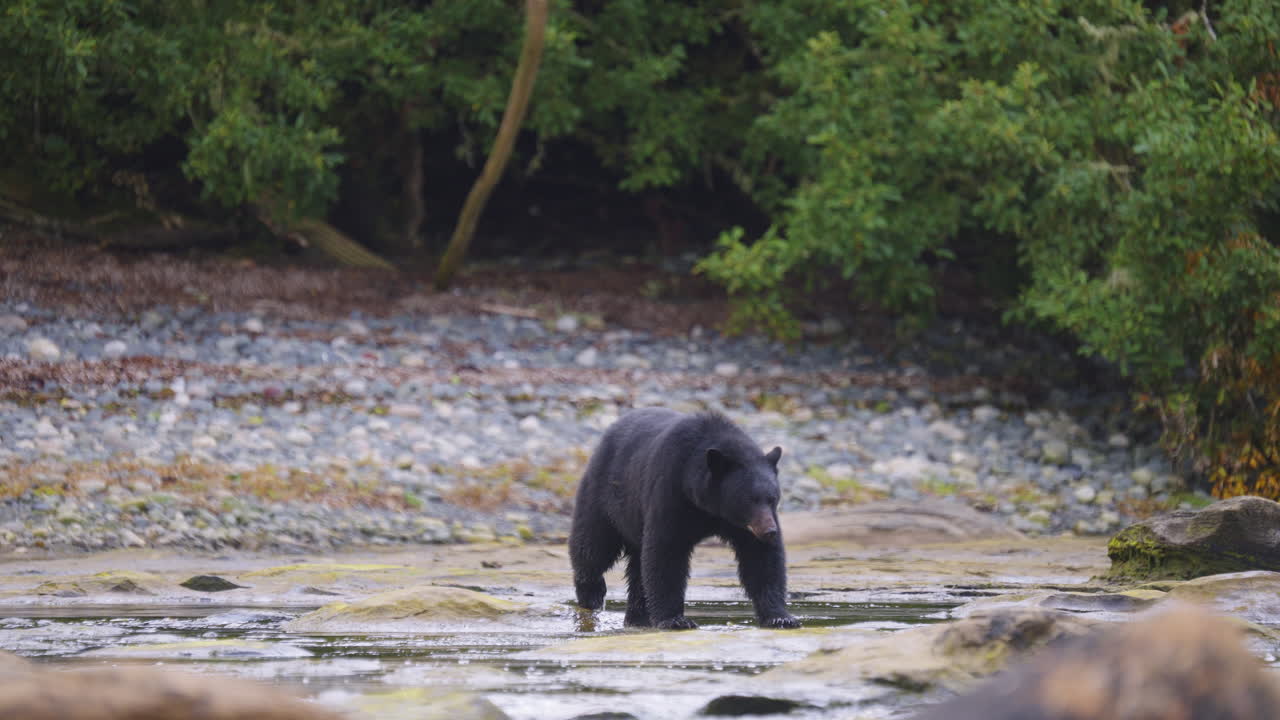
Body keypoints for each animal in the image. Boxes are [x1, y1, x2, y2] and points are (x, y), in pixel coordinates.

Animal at [569, 408, 800, 630]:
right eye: (749, 500)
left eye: (772, 498)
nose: (769, 531)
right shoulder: (671, 489)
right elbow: (666, 550)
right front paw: (675, 620)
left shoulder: (742, 525)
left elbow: (761, 558)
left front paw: (781, 617)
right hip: (606, 496)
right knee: (594, 544)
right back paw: (591, 595)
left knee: (637, 566)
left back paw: (637, 618)